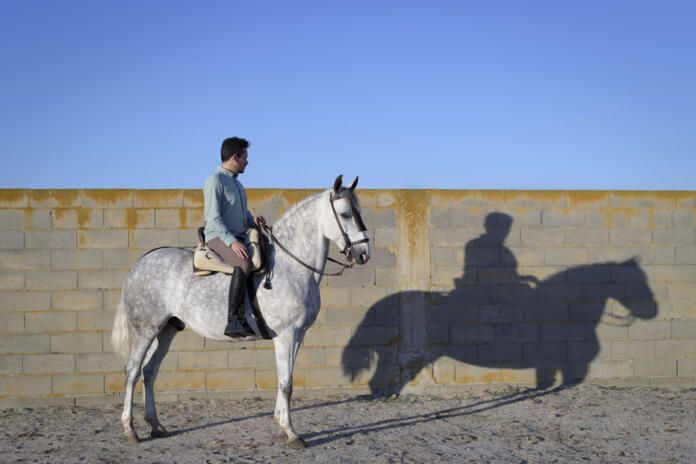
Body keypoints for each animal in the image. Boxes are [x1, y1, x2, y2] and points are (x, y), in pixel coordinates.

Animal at [111, 176, 370, 448]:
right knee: (132, 371)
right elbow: (286, 383)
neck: (290, 265)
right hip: (145, 330)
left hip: (167, 330)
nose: (364, 254)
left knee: (149, 371)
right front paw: (291, 432)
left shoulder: (298, 335)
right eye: (345, 214)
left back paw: (156, 426)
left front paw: (280, 424)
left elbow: (286, 378)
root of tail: (139, 264)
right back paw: (130, 429)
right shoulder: (286, 335)